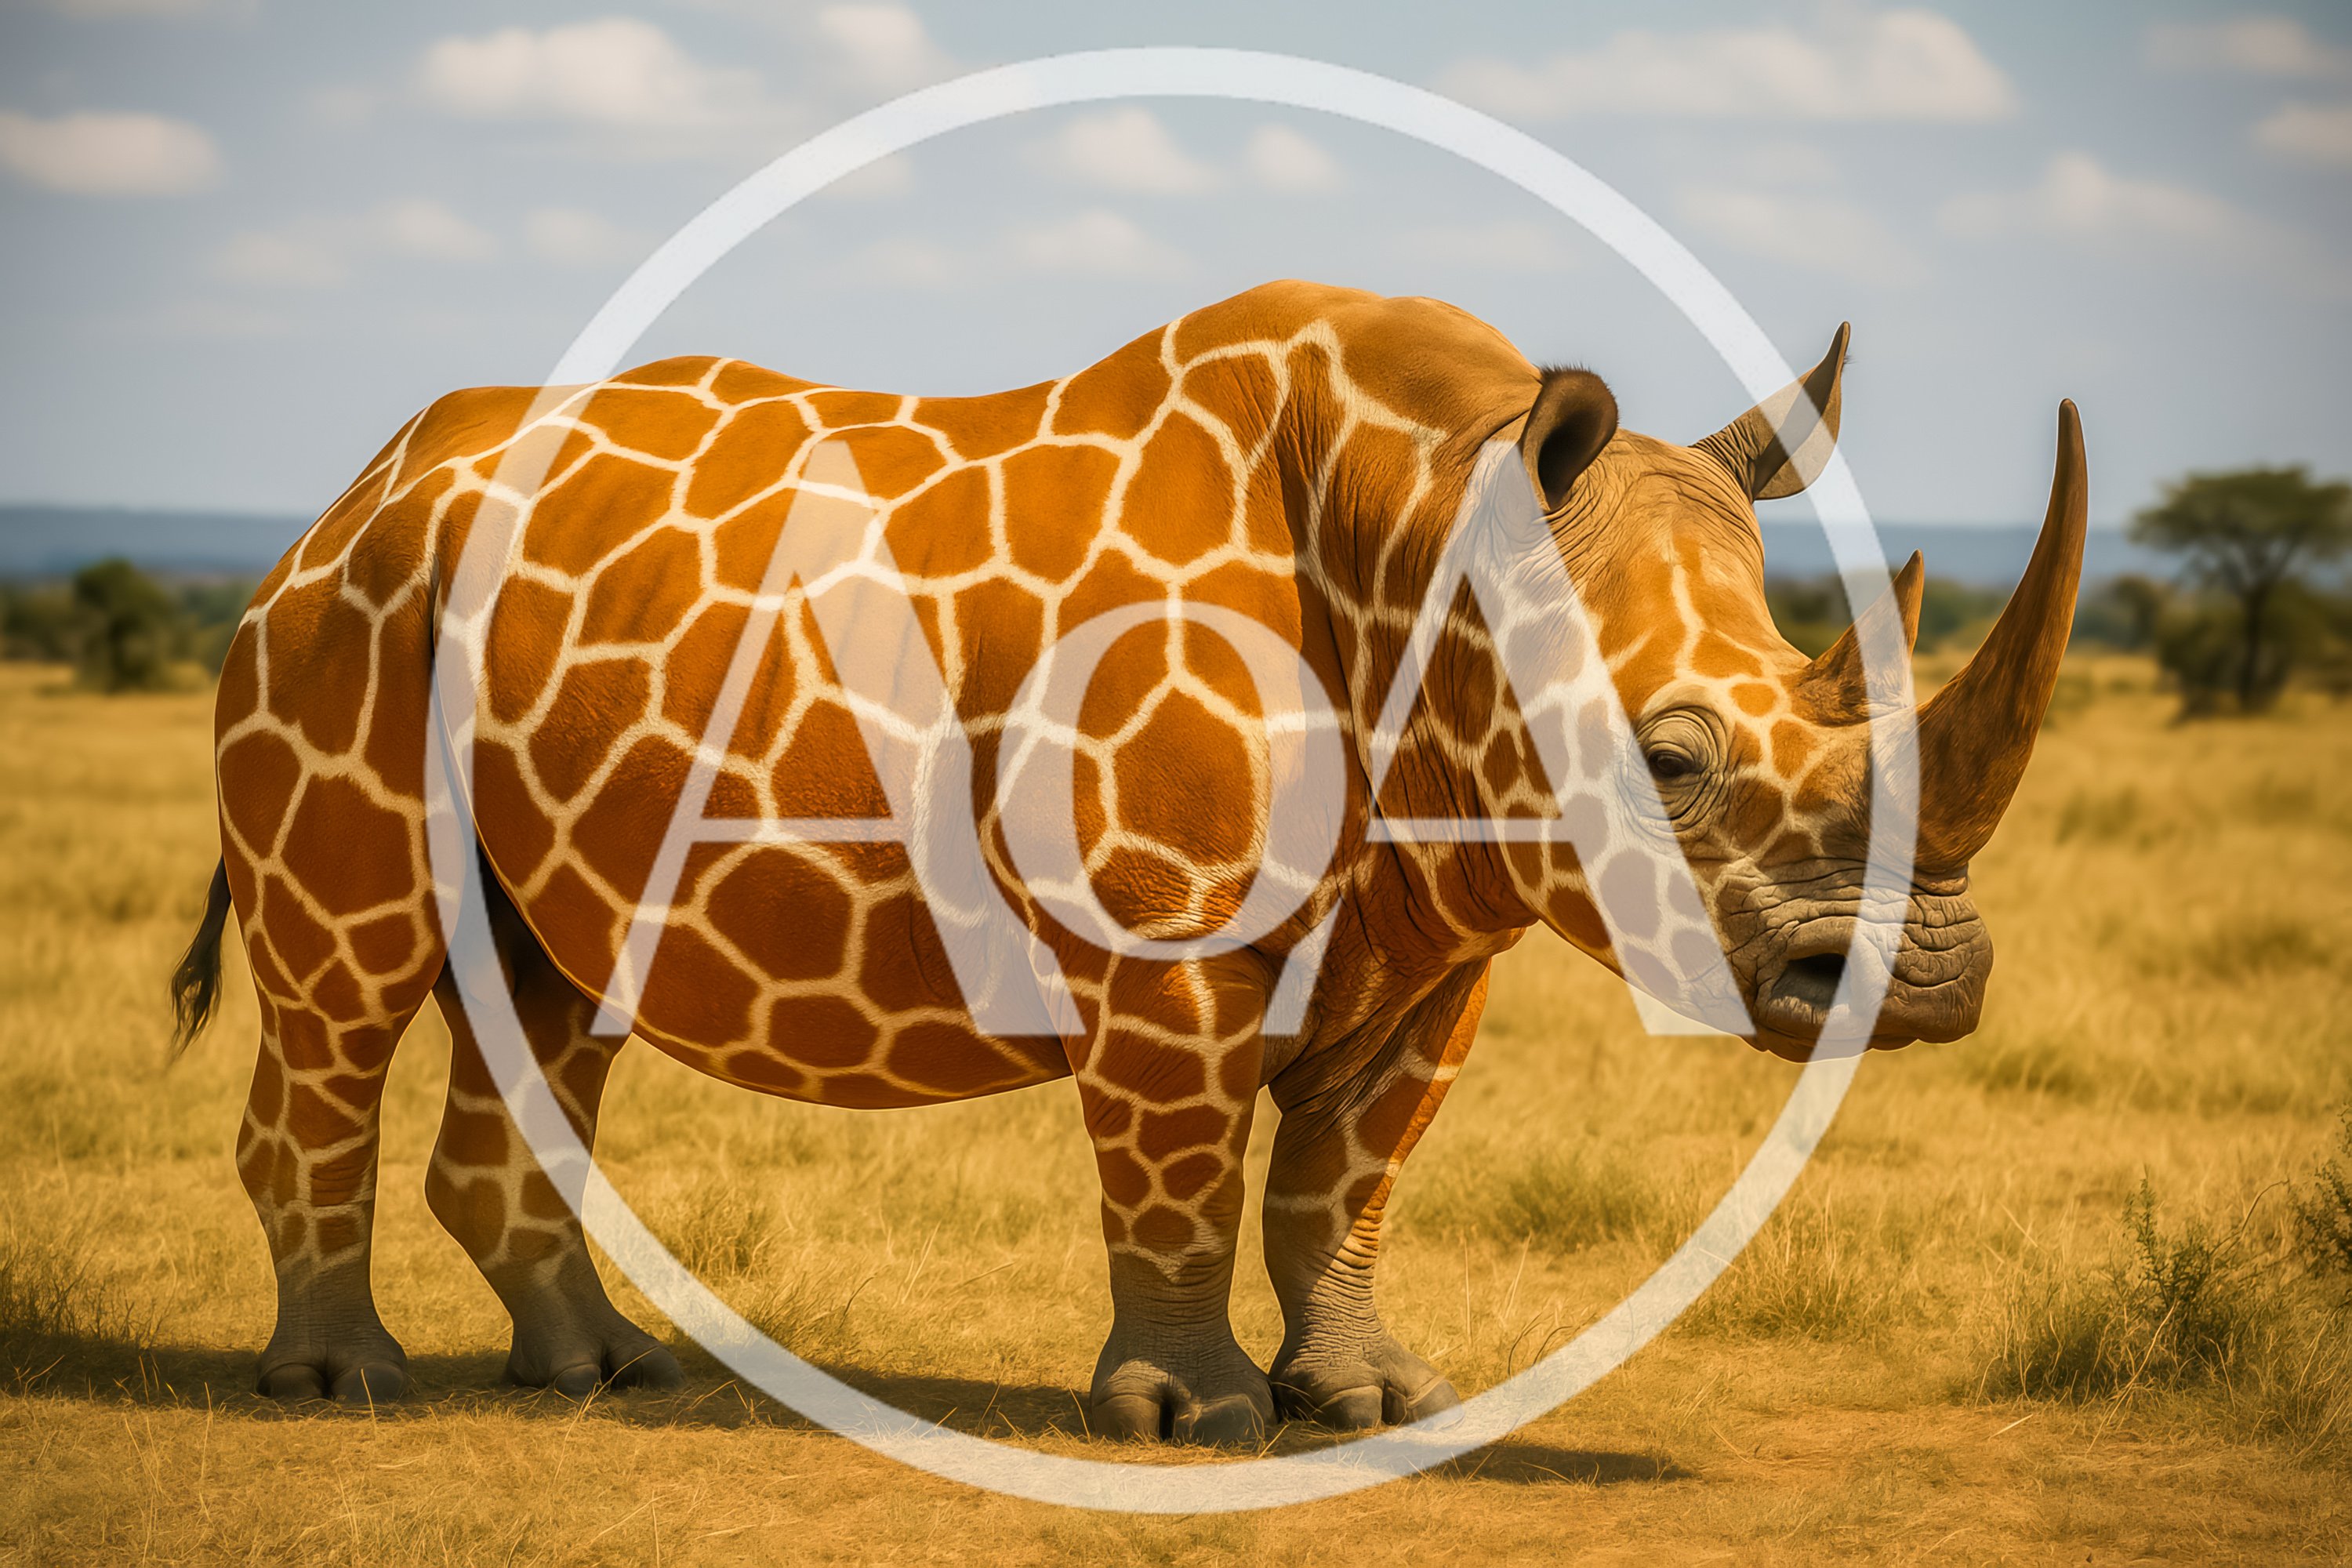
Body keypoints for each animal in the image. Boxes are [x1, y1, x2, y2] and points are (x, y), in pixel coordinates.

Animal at [170, 280, 2085, 1440]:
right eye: (1670, 767)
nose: (1922, 983)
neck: (1434, 535)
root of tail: (346, 494)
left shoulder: (1442, 925)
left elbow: (1345, 1176)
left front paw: (1375, 1405)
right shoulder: (1169, 933)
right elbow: (1179, 1167)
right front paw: (1191, 1422)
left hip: (462, 626)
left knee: (552, 994)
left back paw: (599, 1376)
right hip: (348, 623)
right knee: (355, 979)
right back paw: (344, 1385)